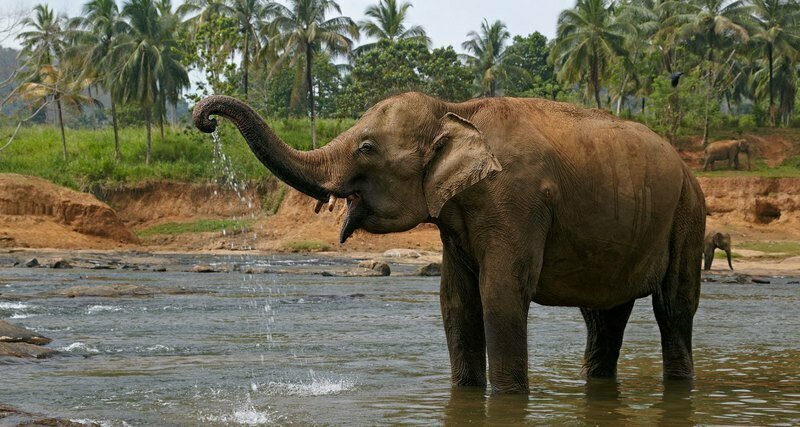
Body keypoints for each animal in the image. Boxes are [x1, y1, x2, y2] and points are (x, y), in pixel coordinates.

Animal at [194, 93, 708, 394]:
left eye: (366, 148)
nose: (205, 120)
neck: (455, 107)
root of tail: (687, 168)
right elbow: (455, 301)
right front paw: (466, 394)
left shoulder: (516, 200)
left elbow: (500, 294)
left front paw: (506, 399)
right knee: (603, 316)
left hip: (689, 214)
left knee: (673, 307)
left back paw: (680, 382)